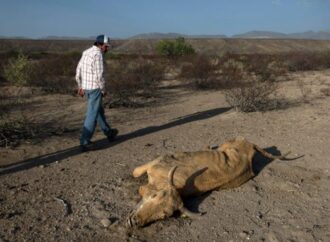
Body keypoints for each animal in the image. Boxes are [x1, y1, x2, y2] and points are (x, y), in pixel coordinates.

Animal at [127, 137, 290, 228]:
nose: (134, 222)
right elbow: (135, 173)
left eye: (164, 215)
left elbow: (135, 174)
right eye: (154, 197)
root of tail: (250, 144)